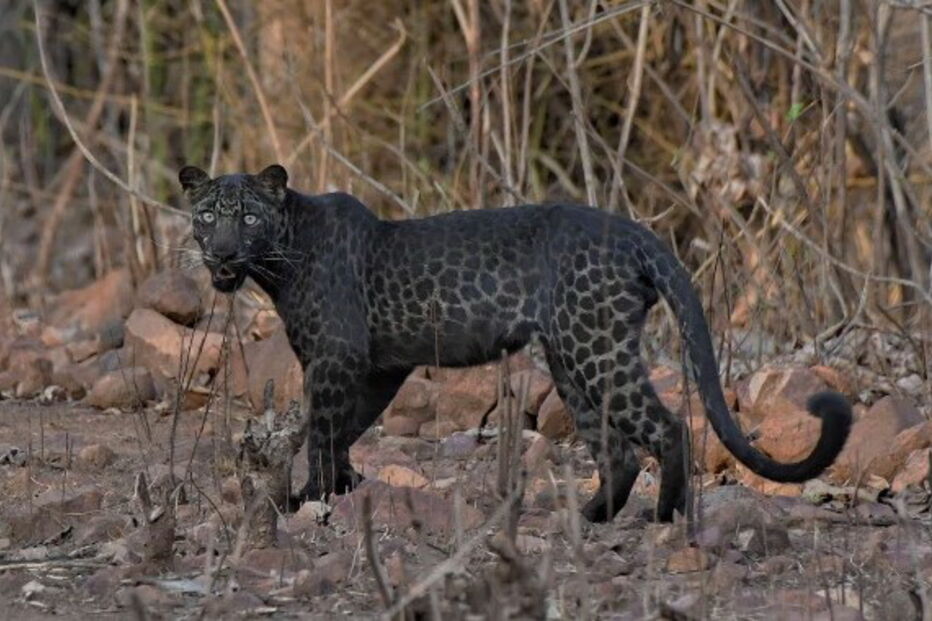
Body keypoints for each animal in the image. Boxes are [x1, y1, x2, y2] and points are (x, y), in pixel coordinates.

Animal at [179, 163, 852, 523]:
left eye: (248, 216)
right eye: (207, 215)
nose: (222, 254)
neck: (280, 259)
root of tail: (636, 232)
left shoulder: (336, 359)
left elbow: (321, 430)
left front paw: (311, 498)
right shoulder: (379, 366)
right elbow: (343, 429)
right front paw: (340, 489)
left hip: (595, 350)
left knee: (667, 428)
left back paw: (665, 518)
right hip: (571, 359)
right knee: (617, 451)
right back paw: (588, 519)